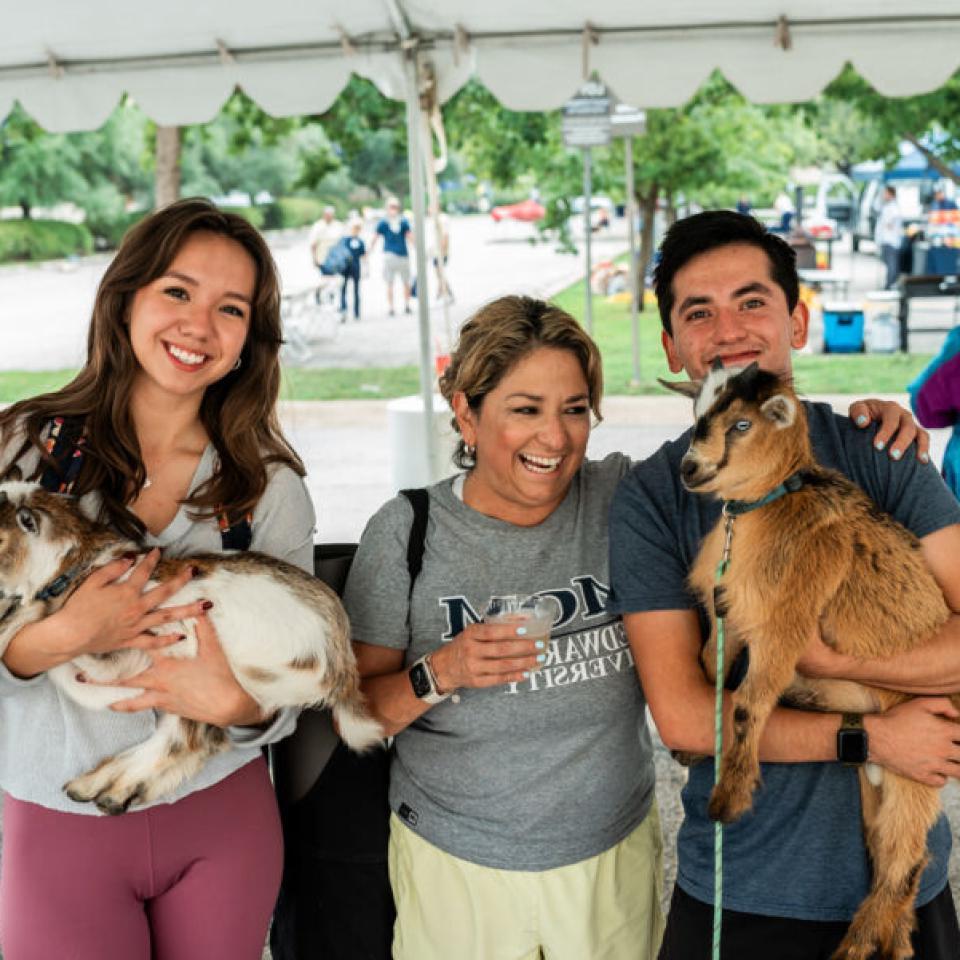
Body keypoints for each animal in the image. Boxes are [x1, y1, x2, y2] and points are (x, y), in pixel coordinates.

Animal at [0, 484, 380, 812]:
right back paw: (101, 789)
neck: (77, 560)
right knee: (191, 741)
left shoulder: (128, 650)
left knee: (185, 740)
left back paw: (104, 790)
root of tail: (341, 668)